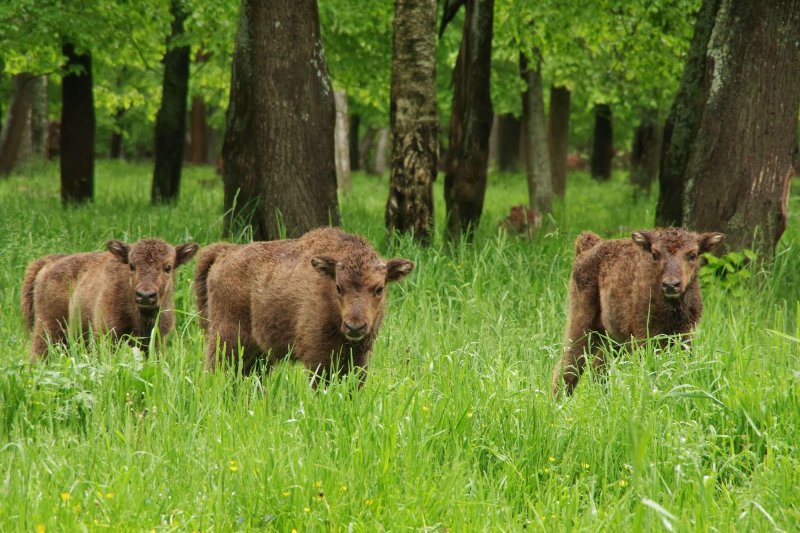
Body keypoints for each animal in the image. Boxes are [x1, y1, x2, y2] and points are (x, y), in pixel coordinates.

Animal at [20, 239, 198, 360]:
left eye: (168, 267)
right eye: (132, 265)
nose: (145, 295)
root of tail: (49, 263)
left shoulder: (157, 341)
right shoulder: (108, 336)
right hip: (48, 330)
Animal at [196, 227, 416, 384]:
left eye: (379, 288)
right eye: (339, 287)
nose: (355, 326)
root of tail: (226, 252)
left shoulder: (359, 358)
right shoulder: (319, 357)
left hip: (258, 354)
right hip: (227, 339)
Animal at [552, 227, 724, 396]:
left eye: (692, 255)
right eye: (655, 254)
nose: (670, 285)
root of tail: (588, 246)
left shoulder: (684, 336)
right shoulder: (645, 337)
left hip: (614, 338)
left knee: (598, 368)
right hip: (583, 324)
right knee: (568, 368)